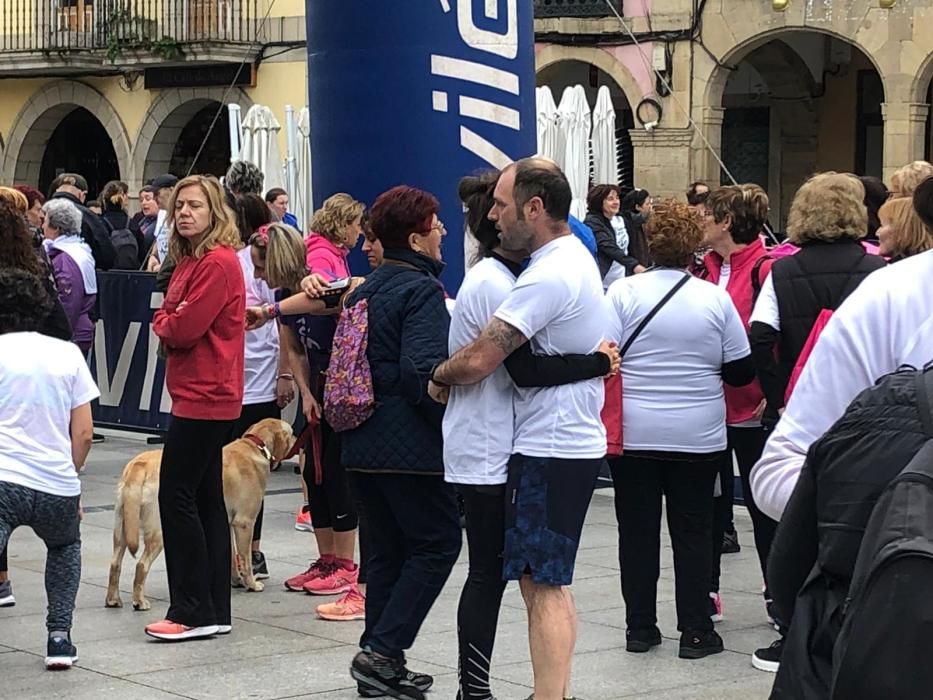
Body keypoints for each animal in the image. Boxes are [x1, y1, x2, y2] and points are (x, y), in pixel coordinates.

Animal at [105, 418, 294, 608]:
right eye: (292, 433)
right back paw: (140, 601)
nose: (298, 440)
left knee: (115, 563)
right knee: (141, 565)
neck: (256, 446)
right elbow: (245, 559)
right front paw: (251, 584)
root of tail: (139, 465)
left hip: (122, 527)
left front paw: (236, 581)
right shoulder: (244, 523)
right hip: (158, 531)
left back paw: (113, 600)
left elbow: (232, 557)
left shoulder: (227, 523)